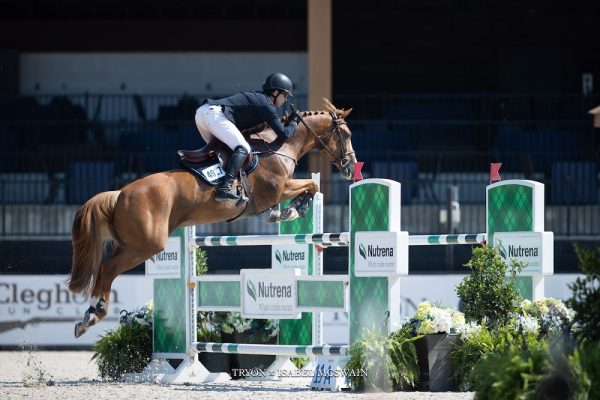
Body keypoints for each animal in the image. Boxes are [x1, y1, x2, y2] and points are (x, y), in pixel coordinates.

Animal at [67, 98, 356, 336]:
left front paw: (286, 211)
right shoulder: (278, 189)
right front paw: (295, 208)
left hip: (130, 244)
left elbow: (310, 186)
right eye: (345, 134)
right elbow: (312, 184)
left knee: (104, 269)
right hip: (146, 245)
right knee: (107, 268)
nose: (350, 168)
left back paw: (88, 315)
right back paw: (95, 313)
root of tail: (120, 194)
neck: (278, 146)